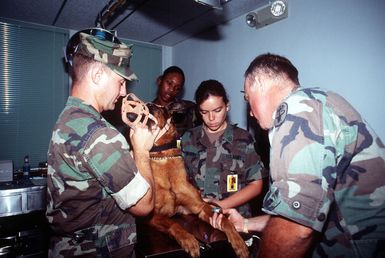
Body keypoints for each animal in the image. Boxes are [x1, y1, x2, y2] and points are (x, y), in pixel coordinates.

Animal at [121, 94, 249, 258]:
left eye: (151, 106)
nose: (129, 107)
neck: (163, 156)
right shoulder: (151, 215)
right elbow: (174, 223)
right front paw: (188, 240)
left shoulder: (200, 207)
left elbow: (225, 221)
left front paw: (238, 241)